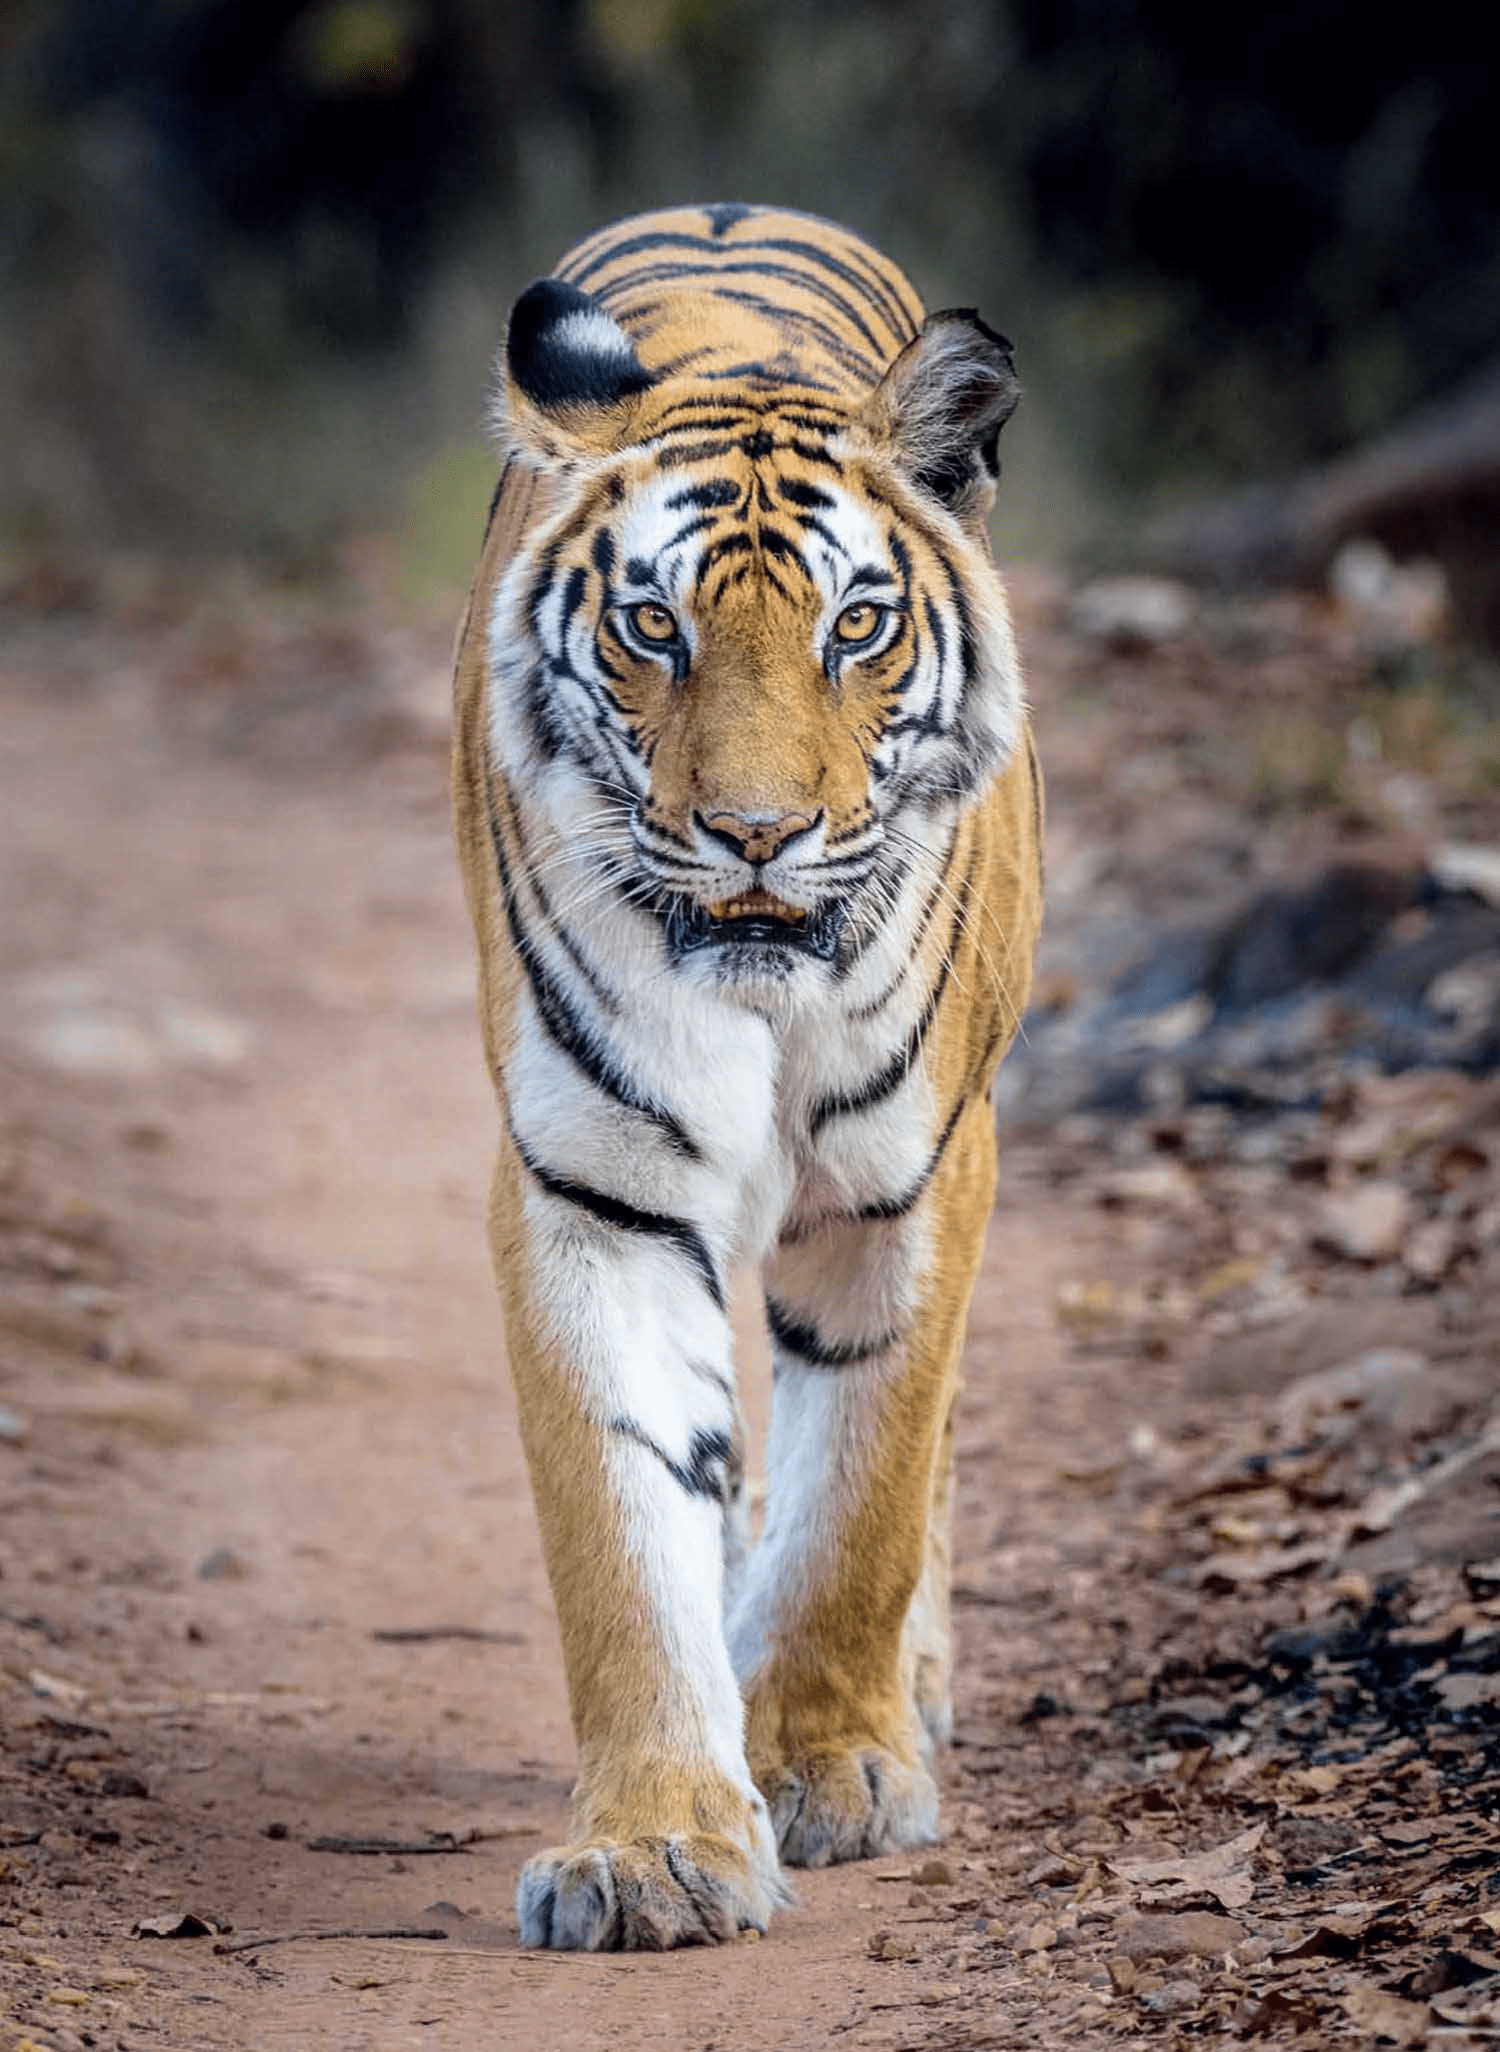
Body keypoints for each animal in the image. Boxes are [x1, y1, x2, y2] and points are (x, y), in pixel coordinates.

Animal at [449, 200, 1042, 1945]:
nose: (758, 836)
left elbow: (868, 1493)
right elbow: (626, 1519)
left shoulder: (919, 1178)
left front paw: (836, 1767)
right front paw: (655, 1845)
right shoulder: (589, 1191)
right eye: (656, 626)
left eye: (857, 626)